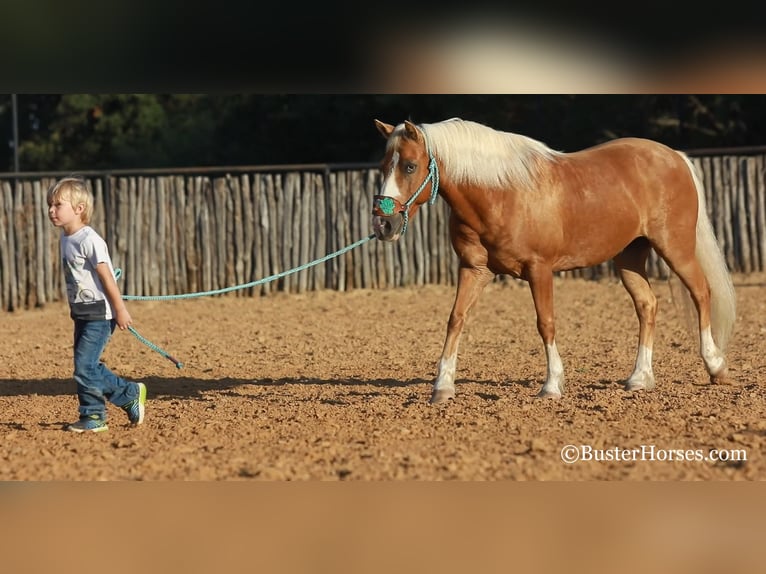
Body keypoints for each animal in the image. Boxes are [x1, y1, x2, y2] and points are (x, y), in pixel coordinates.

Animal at [372, 118, 736, 404]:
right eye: (383, 166)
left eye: (409, 166)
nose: (383, 224)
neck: (500, 193)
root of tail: (674, 156)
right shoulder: (474, 270)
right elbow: (455, 319)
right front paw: (442, 387)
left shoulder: (540, 269)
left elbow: (545, 323)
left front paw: (551, 386)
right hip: (629, 257)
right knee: (647, 305)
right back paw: (639, 378)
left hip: (675, 248)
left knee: (701, 293)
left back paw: (715, 366)